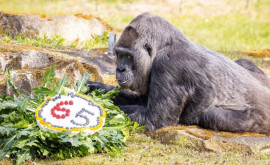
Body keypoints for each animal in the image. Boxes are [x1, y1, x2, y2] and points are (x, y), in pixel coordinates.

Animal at [87, 12, 270, 134]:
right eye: (119, 54)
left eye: (128, 56)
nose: (120, 69)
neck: (166, 43)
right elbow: (139, 100)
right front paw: (94, 89)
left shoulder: (169, 66)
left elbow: (152, 119)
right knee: (243, 62)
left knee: (212, 116)